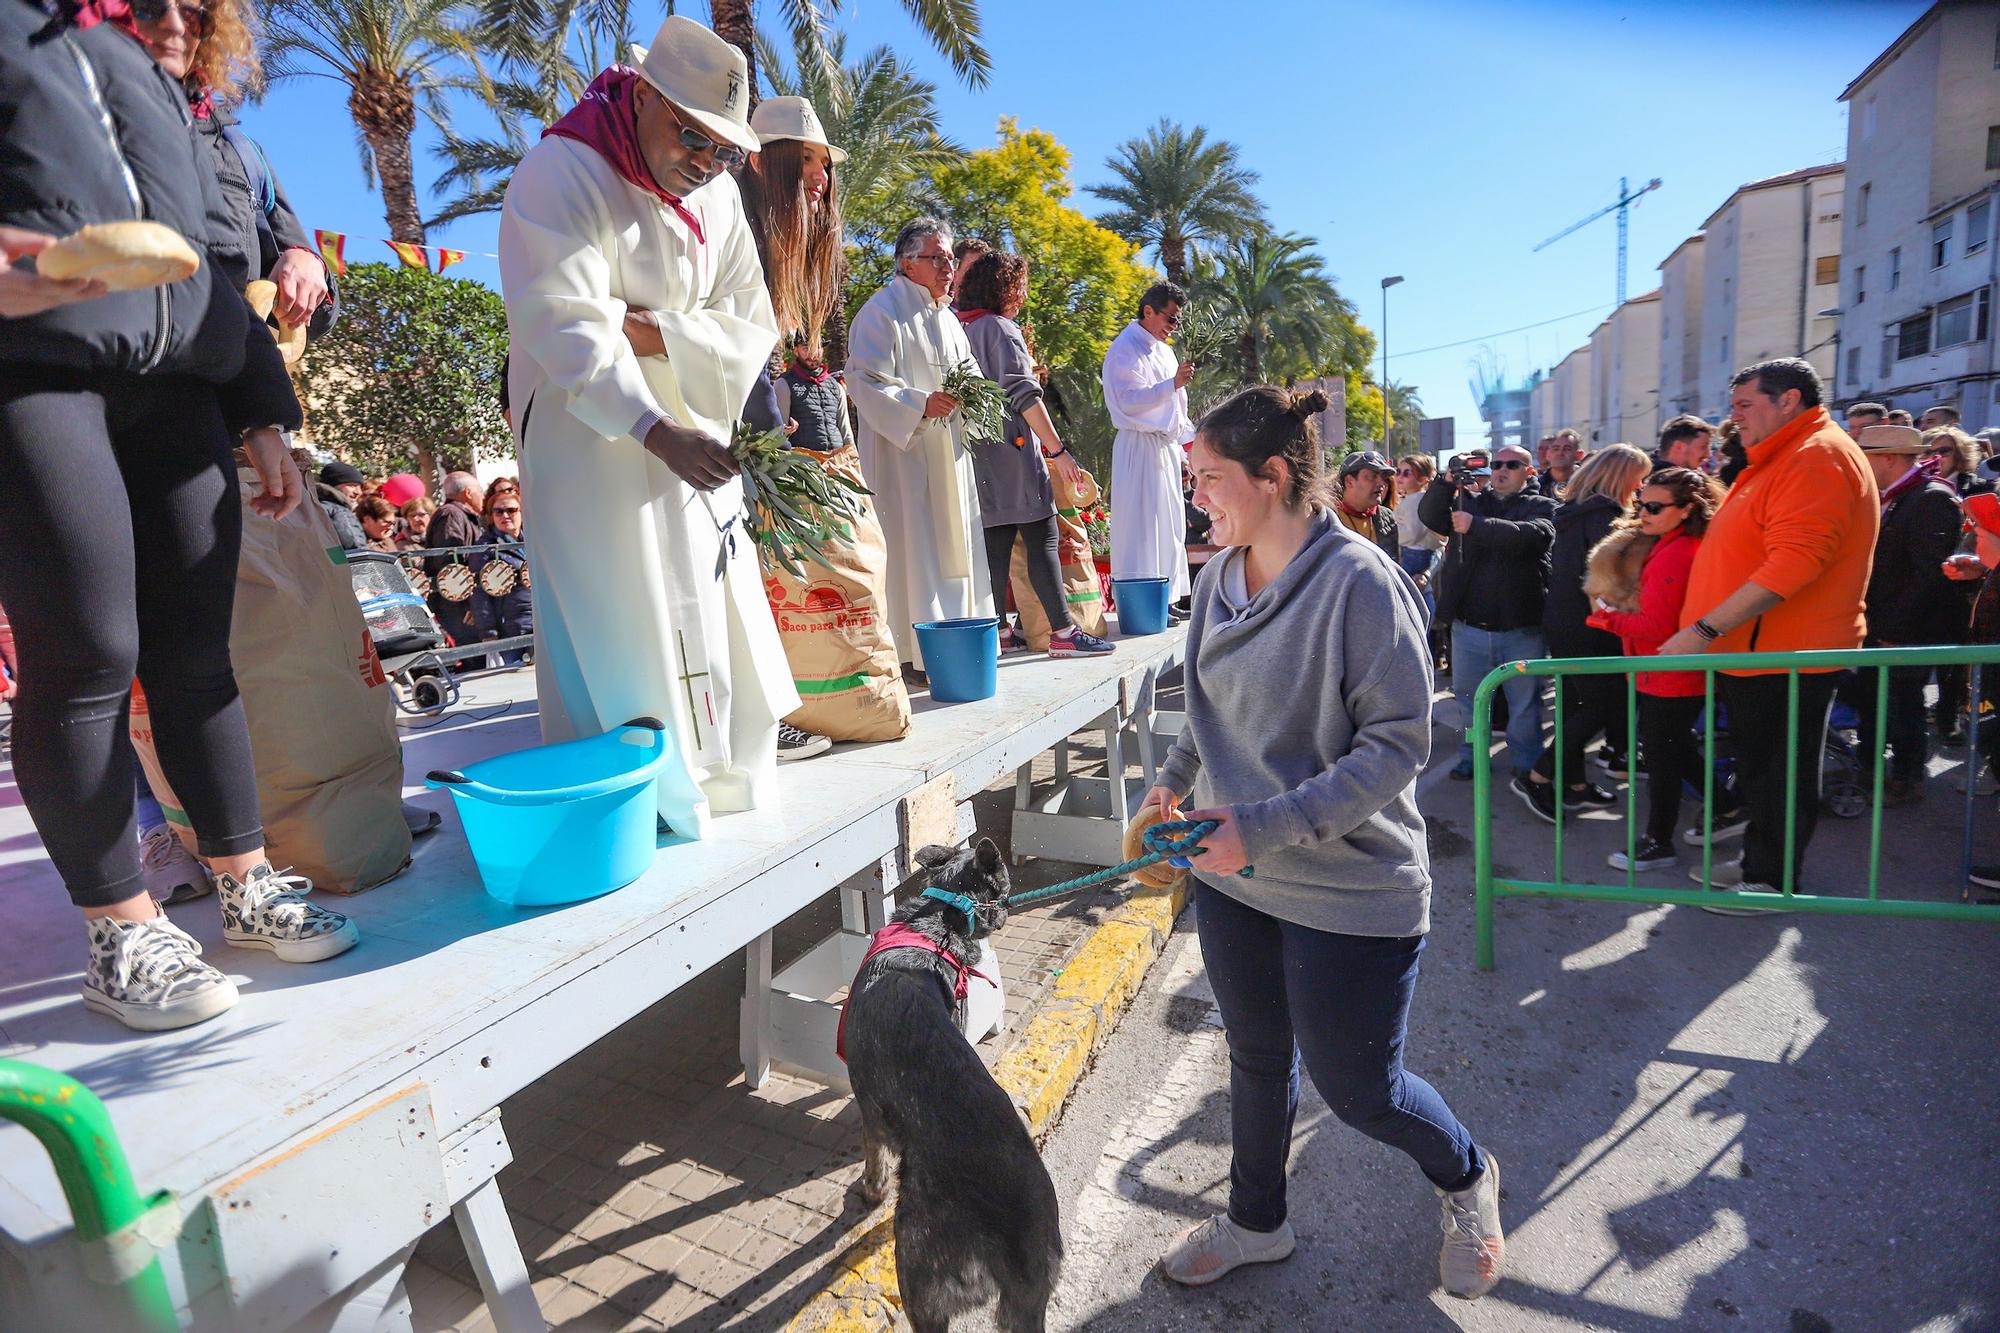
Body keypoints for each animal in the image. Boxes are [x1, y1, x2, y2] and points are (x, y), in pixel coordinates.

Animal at [840, 836, 1064, 1328]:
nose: (1005, 911)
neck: (937, 921)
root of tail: (1015, 1226)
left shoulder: (869, 1110)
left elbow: (873, 1162)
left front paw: (868, 1193)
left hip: (917, 1270)